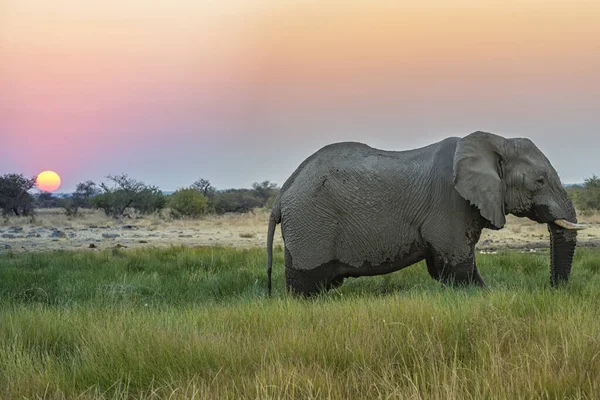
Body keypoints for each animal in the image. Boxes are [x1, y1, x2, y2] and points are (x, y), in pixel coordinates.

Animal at [266, 131, 584, 296]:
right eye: (539, 182)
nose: (553, 290)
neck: (495, 142)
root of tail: (282, 195)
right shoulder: (450, 203)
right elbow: (458, 269)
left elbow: (448, 270)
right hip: (311, 224)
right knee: (306, 287)